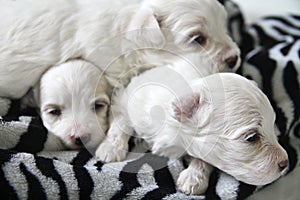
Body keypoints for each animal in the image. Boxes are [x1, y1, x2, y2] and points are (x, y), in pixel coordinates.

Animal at [96, 55, 288, 194]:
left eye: (273, 125)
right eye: (251, 137)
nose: (285, 163)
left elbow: (203, 159)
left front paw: (193, 178)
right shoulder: (129, 98)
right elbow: (121, 121)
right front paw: (110, 148)